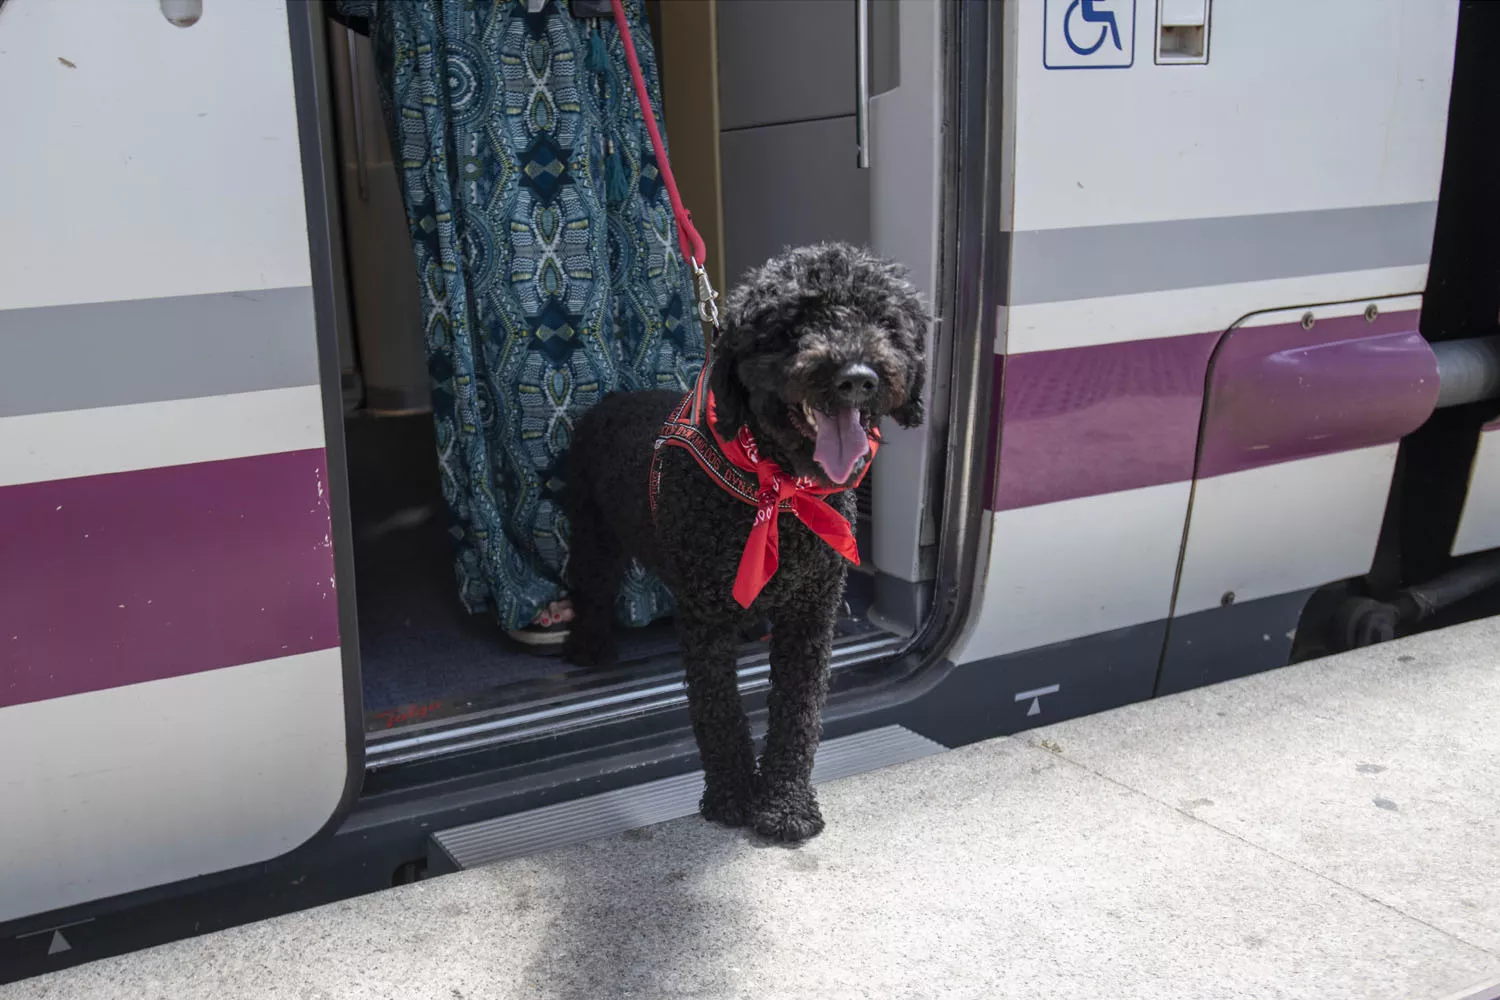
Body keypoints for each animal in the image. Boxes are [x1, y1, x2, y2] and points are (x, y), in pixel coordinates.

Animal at [564, 244, 924, 845]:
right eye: (791, 325)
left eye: (884, 321)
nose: (857, 378)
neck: (775, 488)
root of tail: (610, 399)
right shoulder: (704, 619)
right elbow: (719, 712)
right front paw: (733, 795)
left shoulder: (811, 613)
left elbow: (798, 712)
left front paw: (785, 804)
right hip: (593, 533)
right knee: (589, 587)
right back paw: (591, 647)